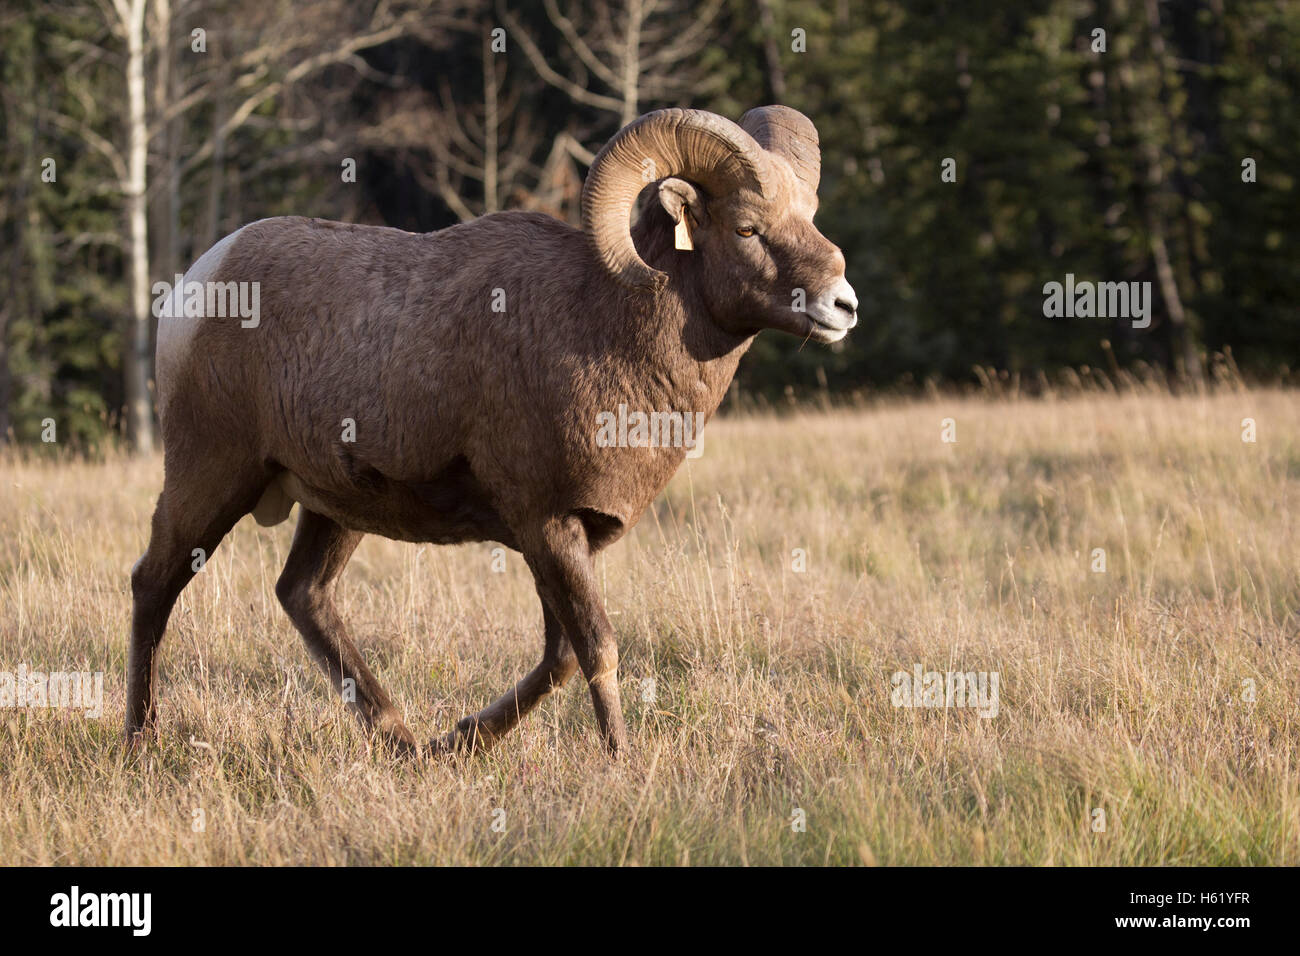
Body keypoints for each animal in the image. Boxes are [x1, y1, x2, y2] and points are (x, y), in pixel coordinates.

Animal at [128, 105, 858, 757]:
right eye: (746, 228)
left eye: (810, 215)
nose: (843, 305)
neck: (606, 328)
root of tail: (201, 285)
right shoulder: (547, 526)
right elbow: (596, 649)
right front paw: (622, 760)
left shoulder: (568, 540)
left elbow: (560, 659)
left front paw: (463, 740)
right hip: (211, 479)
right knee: (153, 584)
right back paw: (140, 741)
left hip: (334, 510)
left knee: (303, 596)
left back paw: (406, 744)